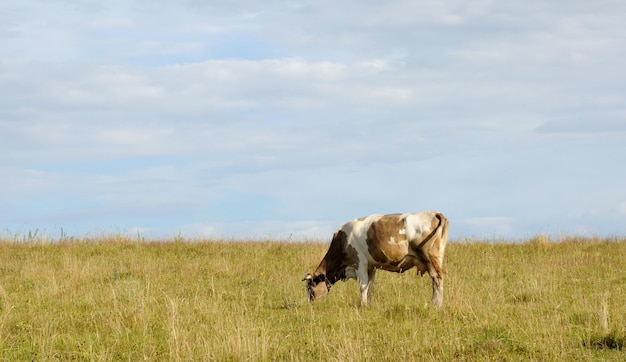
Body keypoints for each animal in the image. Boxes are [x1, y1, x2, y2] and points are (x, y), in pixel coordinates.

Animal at [304, 212, 446, 308]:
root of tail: (433, 212)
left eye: (310, 288)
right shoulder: (371, 267)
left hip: (428, 259)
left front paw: (362, 306)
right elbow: (370, 286)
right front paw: (369, 305)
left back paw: (436, 305)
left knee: (436, 280)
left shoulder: (359, 263)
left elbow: (363, 286)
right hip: (438, 259)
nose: (310, 304)